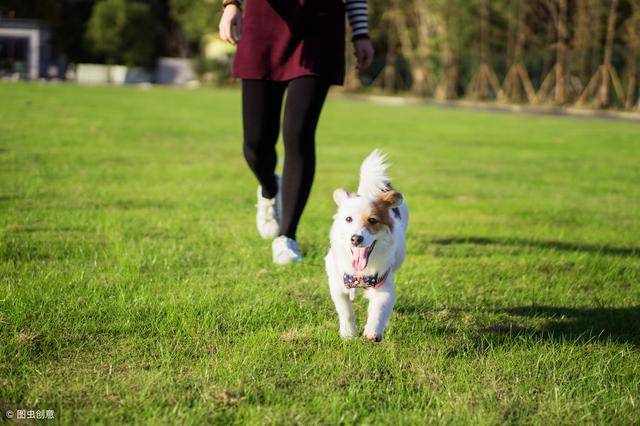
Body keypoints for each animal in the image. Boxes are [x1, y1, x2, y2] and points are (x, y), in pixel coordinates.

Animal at [324, 151, 410, 342]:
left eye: (373, 220)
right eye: (348, 219)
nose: (356, 238)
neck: (360, 274)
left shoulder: (383, 284)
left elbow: (379, 309)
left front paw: (372, 332)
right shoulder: (337, 283)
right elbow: (345, 310)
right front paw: (349, 333)